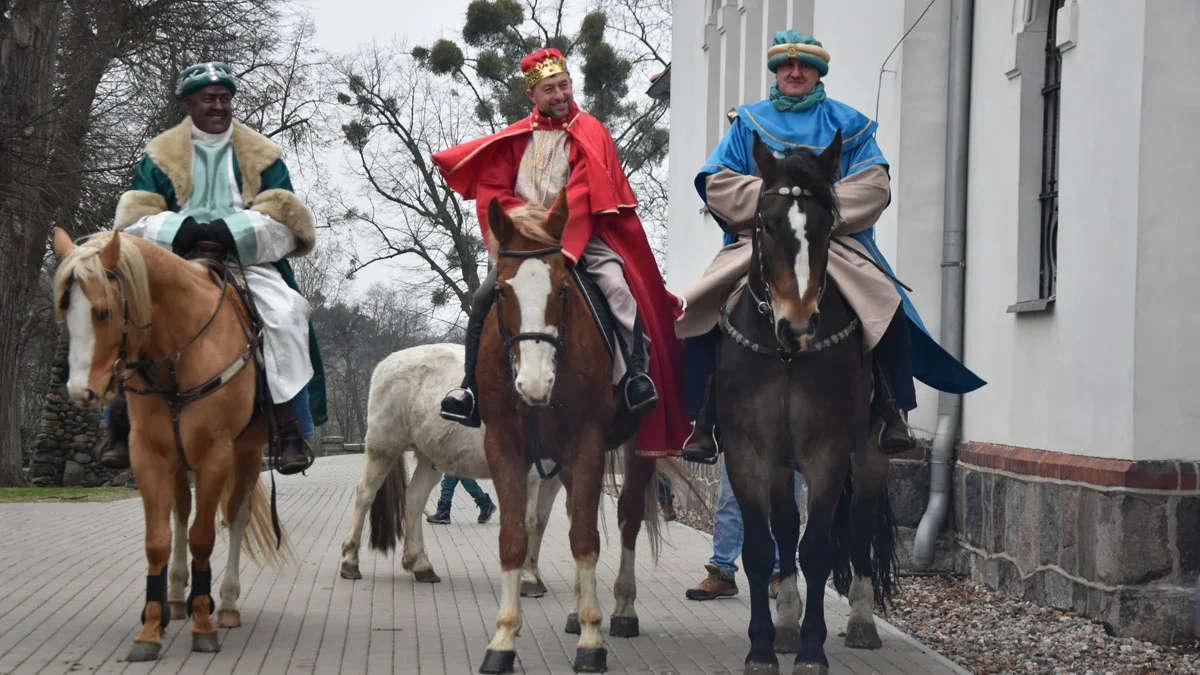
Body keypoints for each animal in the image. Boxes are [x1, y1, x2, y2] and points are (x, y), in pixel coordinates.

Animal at [54, 228, 292, 658]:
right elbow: (159, 540)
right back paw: (178, 597)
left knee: (235, 517)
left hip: (247, 454)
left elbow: (204, 536)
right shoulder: (149, 455)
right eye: (65, 310)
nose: (81, 392)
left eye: (103, 312)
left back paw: (225, 604)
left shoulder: (216, 456)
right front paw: (151, 628)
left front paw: (204, 625)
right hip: (181, 462)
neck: (179, 351)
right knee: (181, 513)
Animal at [338, 341, 561, 593]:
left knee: (414, 498)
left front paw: (533, 574)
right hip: (384, 447)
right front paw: (528, 578)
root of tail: (387, 362)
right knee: (365, 494)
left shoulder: (552, 478)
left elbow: (540, 523)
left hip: (429, 458)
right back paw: (350, 561)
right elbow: (528, 523)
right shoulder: (529, 474)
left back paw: (420, 564)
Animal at [475, 192, 667, 667]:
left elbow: (585, 538)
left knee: (627, 517)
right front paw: (503, 639)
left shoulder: (588, 445)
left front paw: (592, 639)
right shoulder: (503, 447)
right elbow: (514, 537)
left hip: (636, 447)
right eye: (502, 290)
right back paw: (576, 608)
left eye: (563, 288)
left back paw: (621, 609)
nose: (535, 385)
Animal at [710, 131, 902, 672]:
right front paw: (762, 647)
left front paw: (814, 650)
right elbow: (760, 548)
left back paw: (860, 622)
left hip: (871, 455)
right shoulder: (750, 455)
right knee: (784, 528)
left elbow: (816, 549)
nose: (797, 325)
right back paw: (787, 625)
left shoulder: (828, 455)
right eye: (765, 223)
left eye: (826, 227)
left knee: (859, 526)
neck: (785, 359)